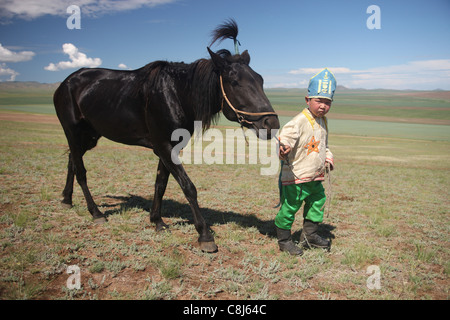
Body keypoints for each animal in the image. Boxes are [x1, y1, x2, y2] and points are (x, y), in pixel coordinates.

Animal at [52, 19, 278, 252]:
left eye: (260, 80)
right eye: (235, 82)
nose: (271, 124)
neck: (177, 94)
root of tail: (65, 82)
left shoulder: (170, 147)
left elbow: (161, 184)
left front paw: (157, 221)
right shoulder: (163, 146)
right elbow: (188, 187)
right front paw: (204, 234)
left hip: (90, 135)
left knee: (72, 160)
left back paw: (67, 199)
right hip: (72, 131)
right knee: (80, 170)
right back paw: (95, 212)